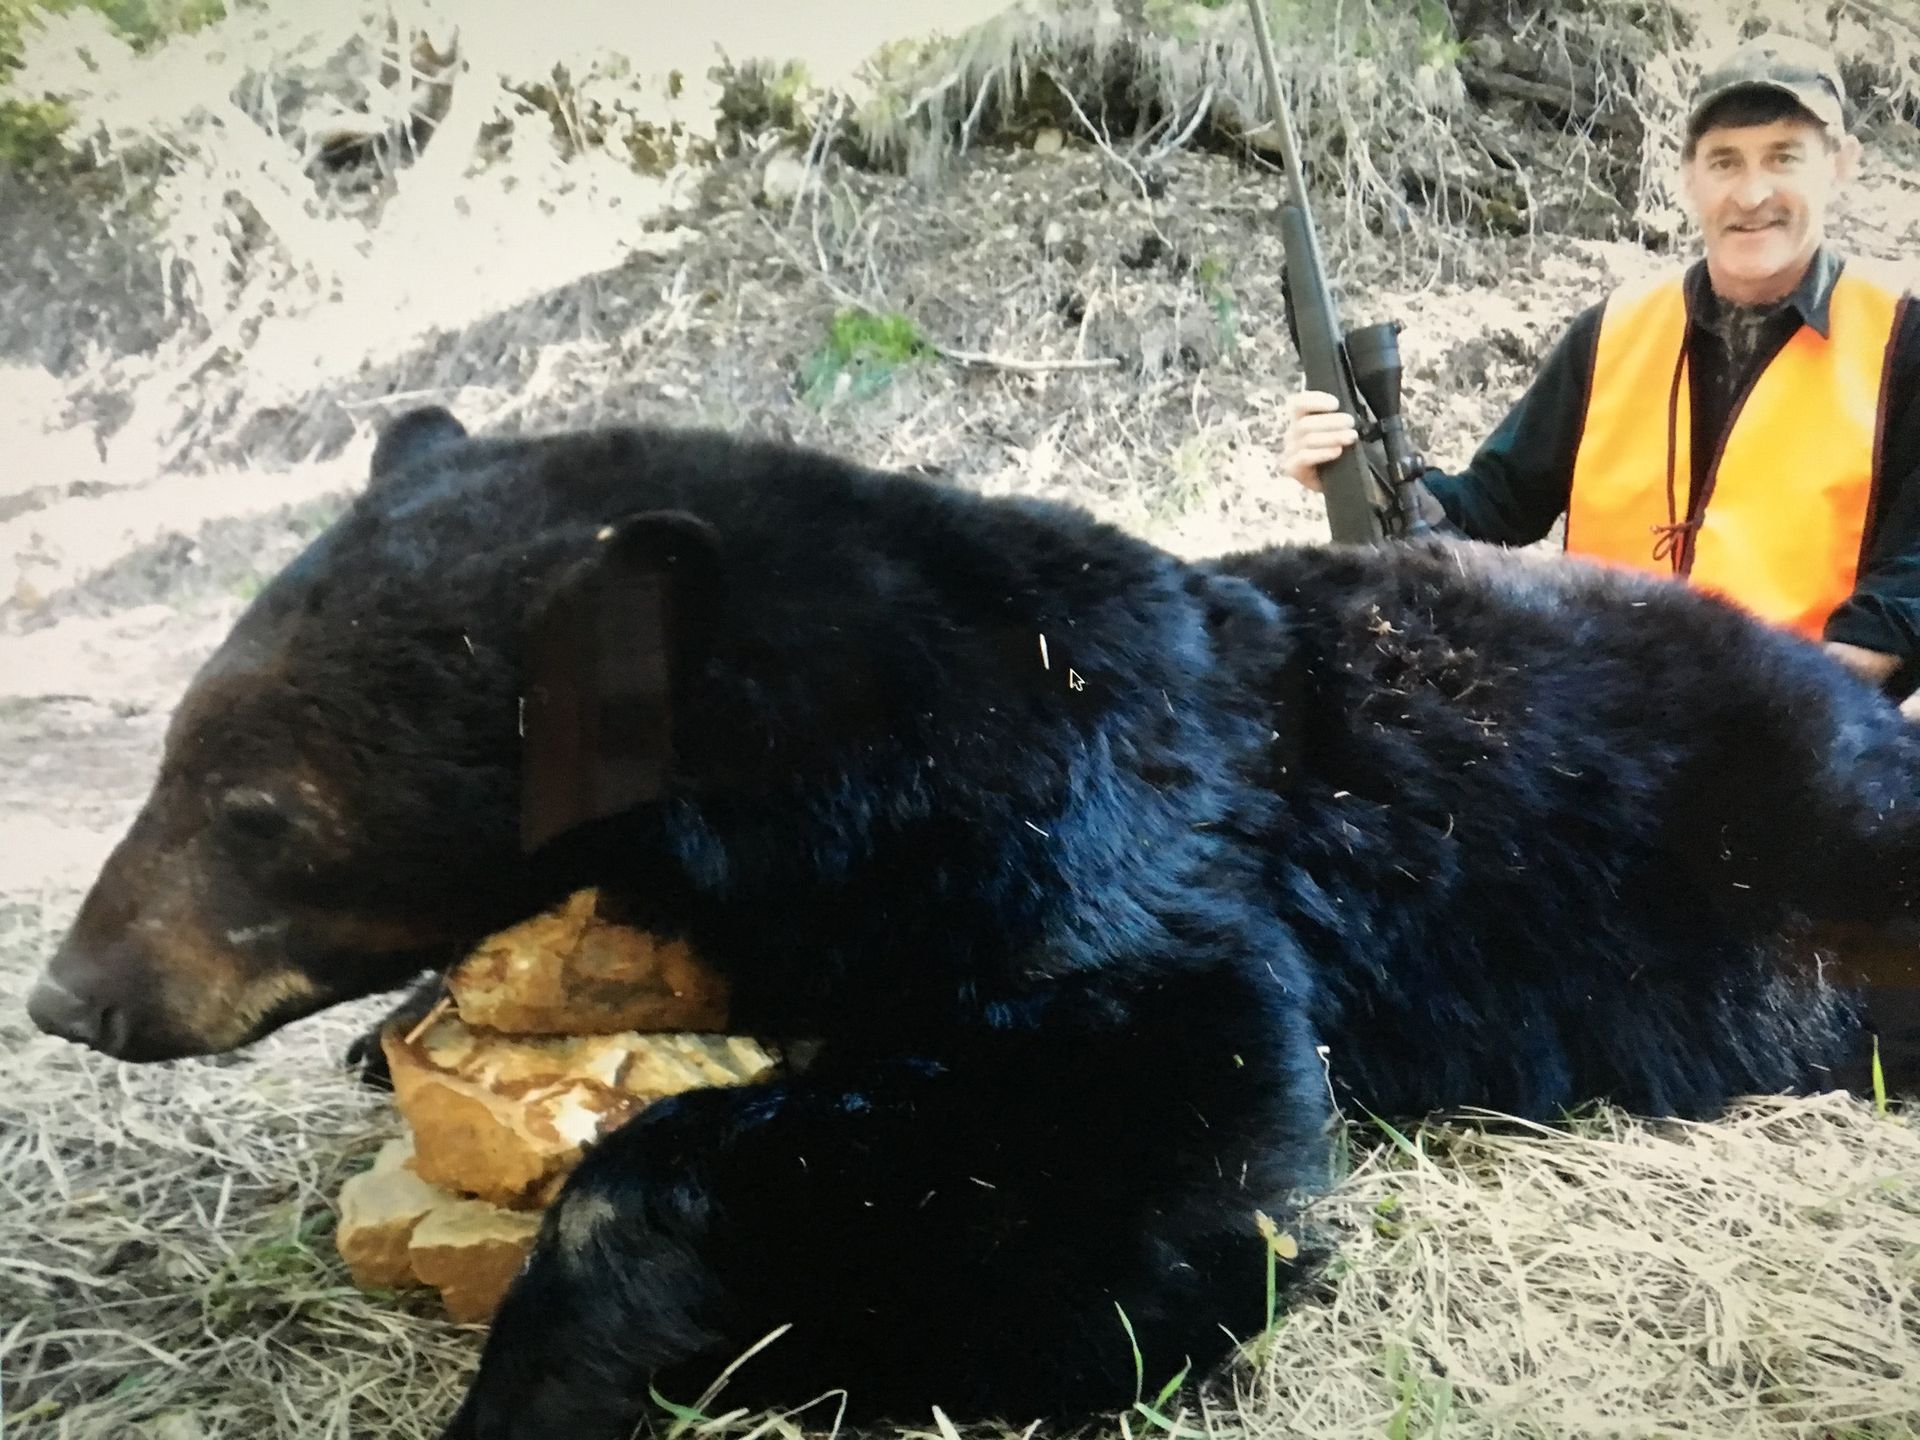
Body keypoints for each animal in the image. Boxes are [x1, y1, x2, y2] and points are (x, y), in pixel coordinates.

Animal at [26, 407, 1920, 1439]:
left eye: (257, 813)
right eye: (174, 749)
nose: (68, 995)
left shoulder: (1100, 836)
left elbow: (1176, 1154)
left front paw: (547, 1366)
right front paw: (397, 1041)